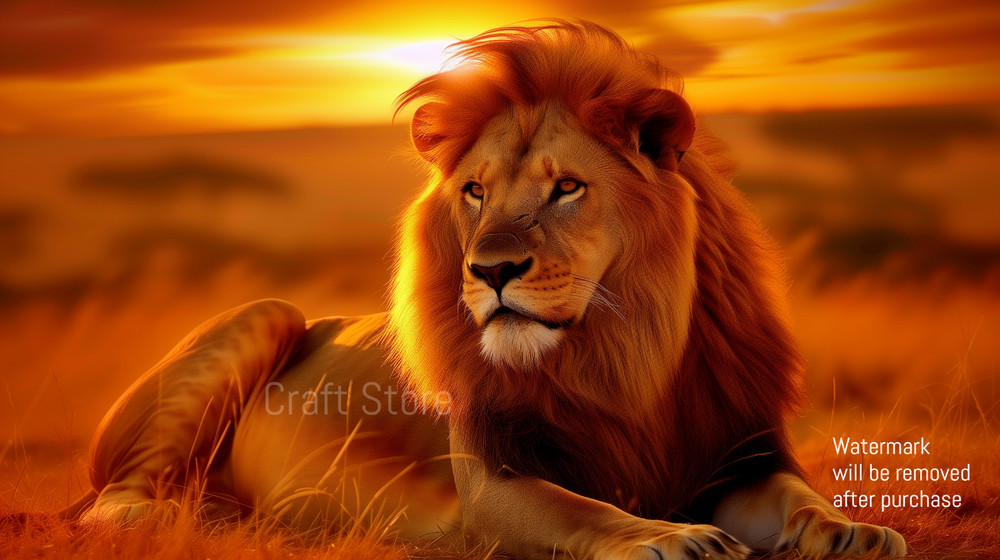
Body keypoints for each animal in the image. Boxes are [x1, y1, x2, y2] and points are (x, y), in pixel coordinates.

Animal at [72, 21, 907, 559]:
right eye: (475, 192)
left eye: (566, 188)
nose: (491, 272)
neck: (625, 351)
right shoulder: (494, 481)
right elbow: (585, 510)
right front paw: (671, 536)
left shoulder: (744, 454)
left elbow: (799, 496)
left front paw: (852, 530)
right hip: (266, 313)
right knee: (111, 499)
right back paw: (180, 519)